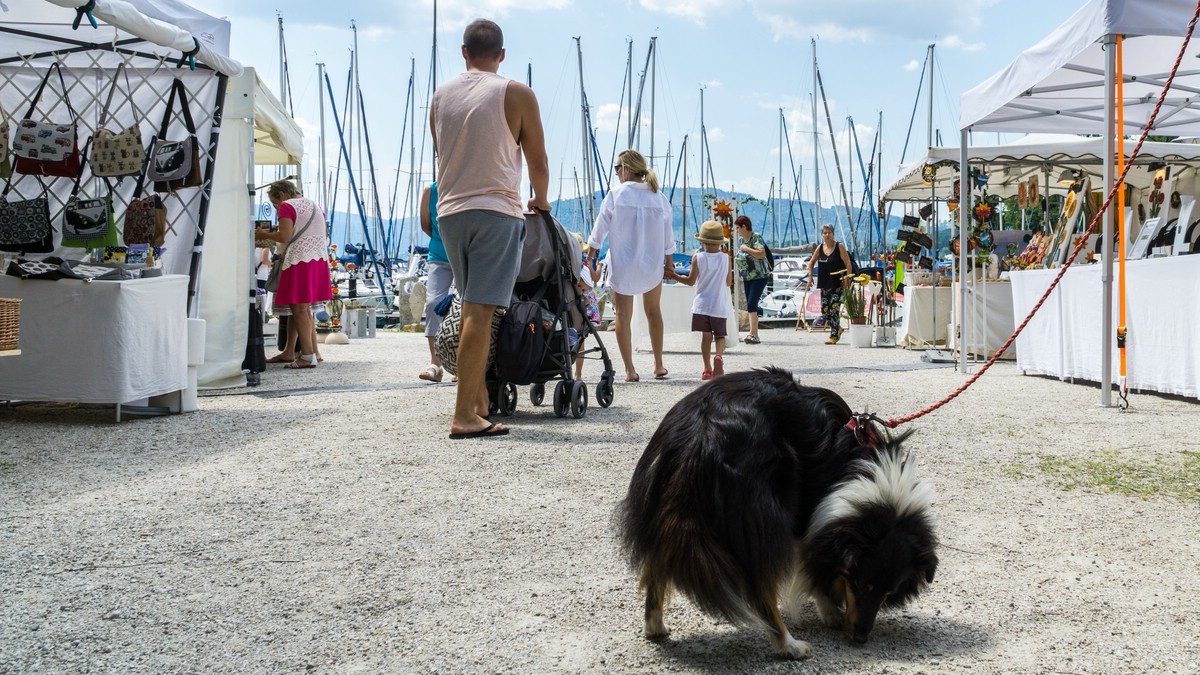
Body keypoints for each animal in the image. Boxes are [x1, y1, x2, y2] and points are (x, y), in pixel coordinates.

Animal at [619, 365, 936, 653]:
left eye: (888, 592)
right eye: (859, 582)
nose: (860, 639)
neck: (862, 467)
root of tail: (703, 429)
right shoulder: (810, 518)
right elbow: (813, 566)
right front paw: (830, 611)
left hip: (663, 504)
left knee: (657, 562)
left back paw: (654, 626)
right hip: (764, 513)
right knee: (761, 590)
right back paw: (789, 646)